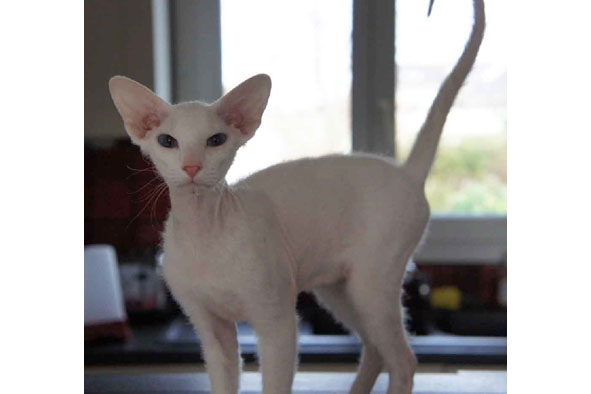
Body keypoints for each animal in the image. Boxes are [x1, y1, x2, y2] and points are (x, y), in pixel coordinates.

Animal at [108, 1, 484, 392]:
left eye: (216, 140)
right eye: (167, 141)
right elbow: (224, 379)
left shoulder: (277, 322)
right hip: (339, 289)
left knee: (404, 359)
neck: (204, 231)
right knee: (375, 349)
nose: (192, 167)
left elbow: (275, 382)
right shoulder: (211, 329)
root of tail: (405, 171)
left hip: (371, 284)